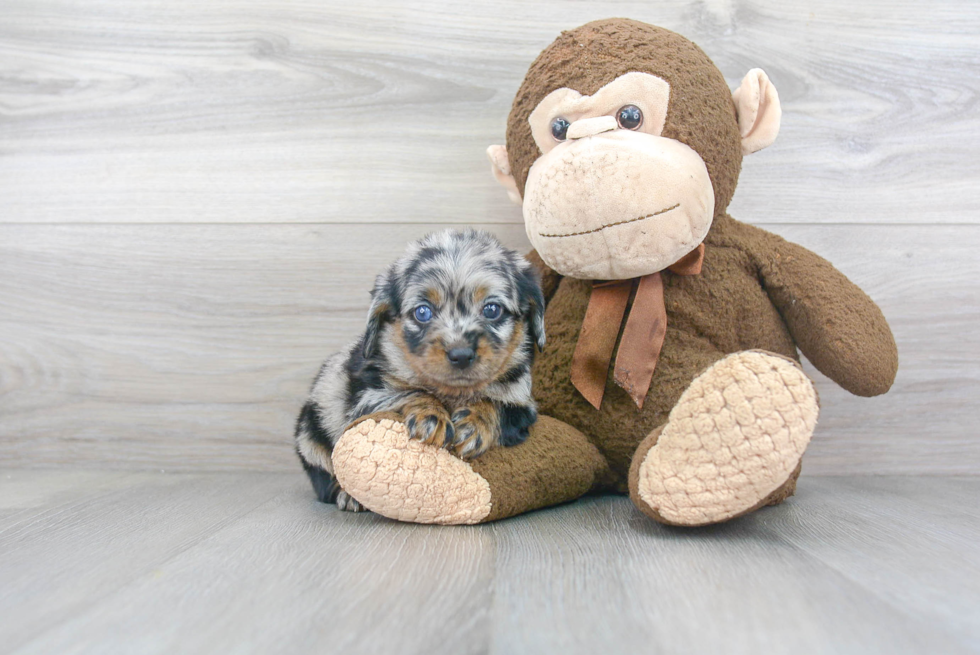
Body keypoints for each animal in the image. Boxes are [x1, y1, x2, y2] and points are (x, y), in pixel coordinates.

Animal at [294, 231, 548, 512]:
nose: (461, 354)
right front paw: (431, 416)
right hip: (310, 435)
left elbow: (493, 403)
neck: (454, 392)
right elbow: (411, 392)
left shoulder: (521, 403)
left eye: (492, 309)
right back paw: (348, 495)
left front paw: (474, 423)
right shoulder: (369, 396)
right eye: (423, 312)